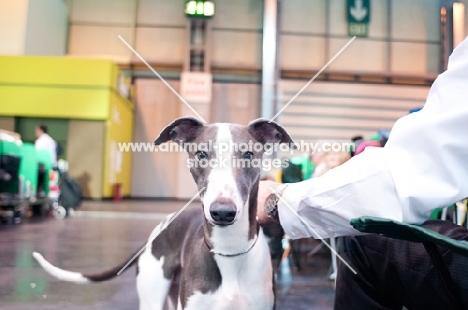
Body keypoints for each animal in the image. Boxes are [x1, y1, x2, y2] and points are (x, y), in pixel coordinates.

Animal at [33, 117, 296, 308]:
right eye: (201, 154)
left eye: (248, 155)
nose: (222, 212)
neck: (229, 251)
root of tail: (155, 234)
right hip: (154, 295)